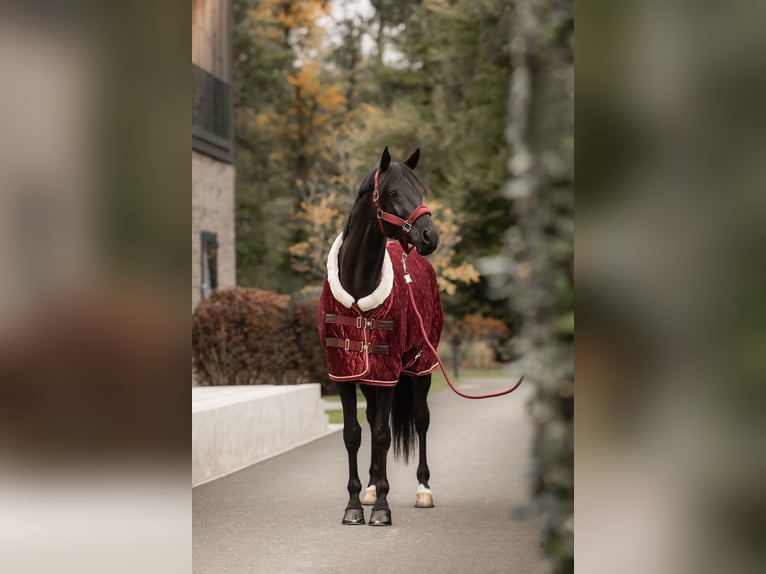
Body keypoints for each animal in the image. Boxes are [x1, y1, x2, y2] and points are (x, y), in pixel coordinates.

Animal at [322, 146, 444, 528]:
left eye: (420, 190)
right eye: (392, 191)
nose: (429, 236)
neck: (359, 288)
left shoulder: (389, 372)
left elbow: (382, 434)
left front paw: (381, 510)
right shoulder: (344, 373)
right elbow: (354, 434)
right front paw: (354, 505)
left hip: (420, 365)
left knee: (420, 420)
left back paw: (423, 490)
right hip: (371, 379)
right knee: (375, 419)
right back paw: (372, 487)